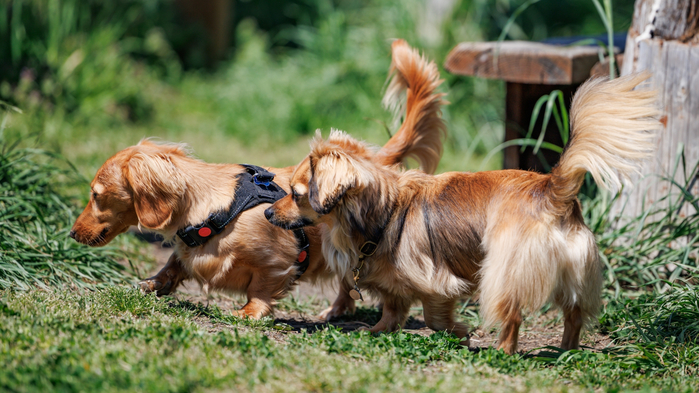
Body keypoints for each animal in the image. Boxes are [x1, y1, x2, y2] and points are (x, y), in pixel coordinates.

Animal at [69, 39, 442, 318]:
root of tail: (369, 160)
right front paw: (151, 284)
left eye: (96, 194)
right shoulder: (187, 253)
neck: (215, 209)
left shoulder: (277, 261)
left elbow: (261, 287)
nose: (71, 234)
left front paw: (251, 312)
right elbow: (174, 264)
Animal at [264, 72, 660, 352]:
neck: (385, 213)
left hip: (504, 270)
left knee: (512, 315)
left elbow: (433, 316)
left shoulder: (436, 283)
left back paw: (503, 351)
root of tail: (552, 188)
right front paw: (375, 331)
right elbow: (392, 310)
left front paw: (460, 334)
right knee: (574, 315)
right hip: (573, 272)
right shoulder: (395, 286)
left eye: (296, 194)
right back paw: (566, 350)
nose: (267, 214)